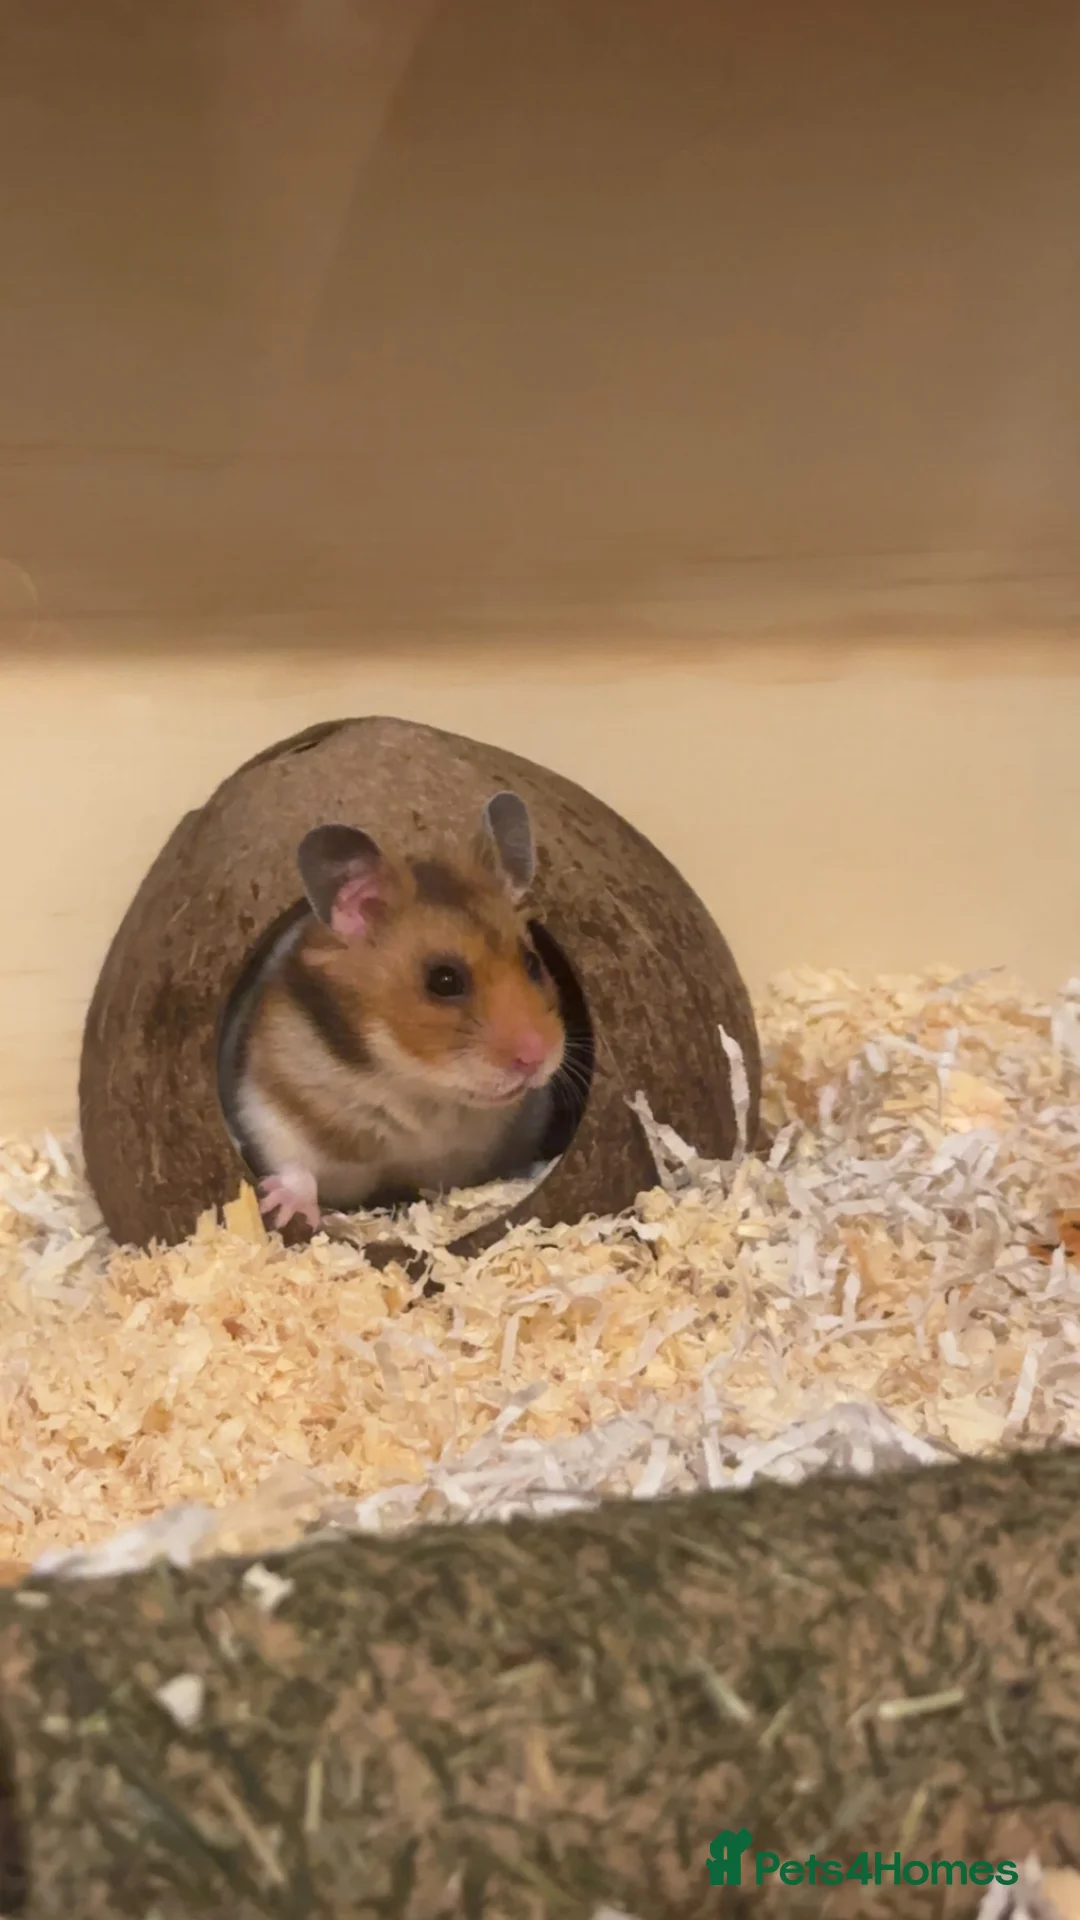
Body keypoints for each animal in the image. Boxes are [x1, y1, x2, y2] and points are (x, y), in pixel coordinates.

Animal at [219, 791, 567, 1233]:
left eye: (532, 963)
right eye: (444, 981)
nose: (537, 1057)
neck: (418, 1086)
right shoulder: (268, 1102)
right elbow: (294, 1165)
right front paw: (284, 1210)